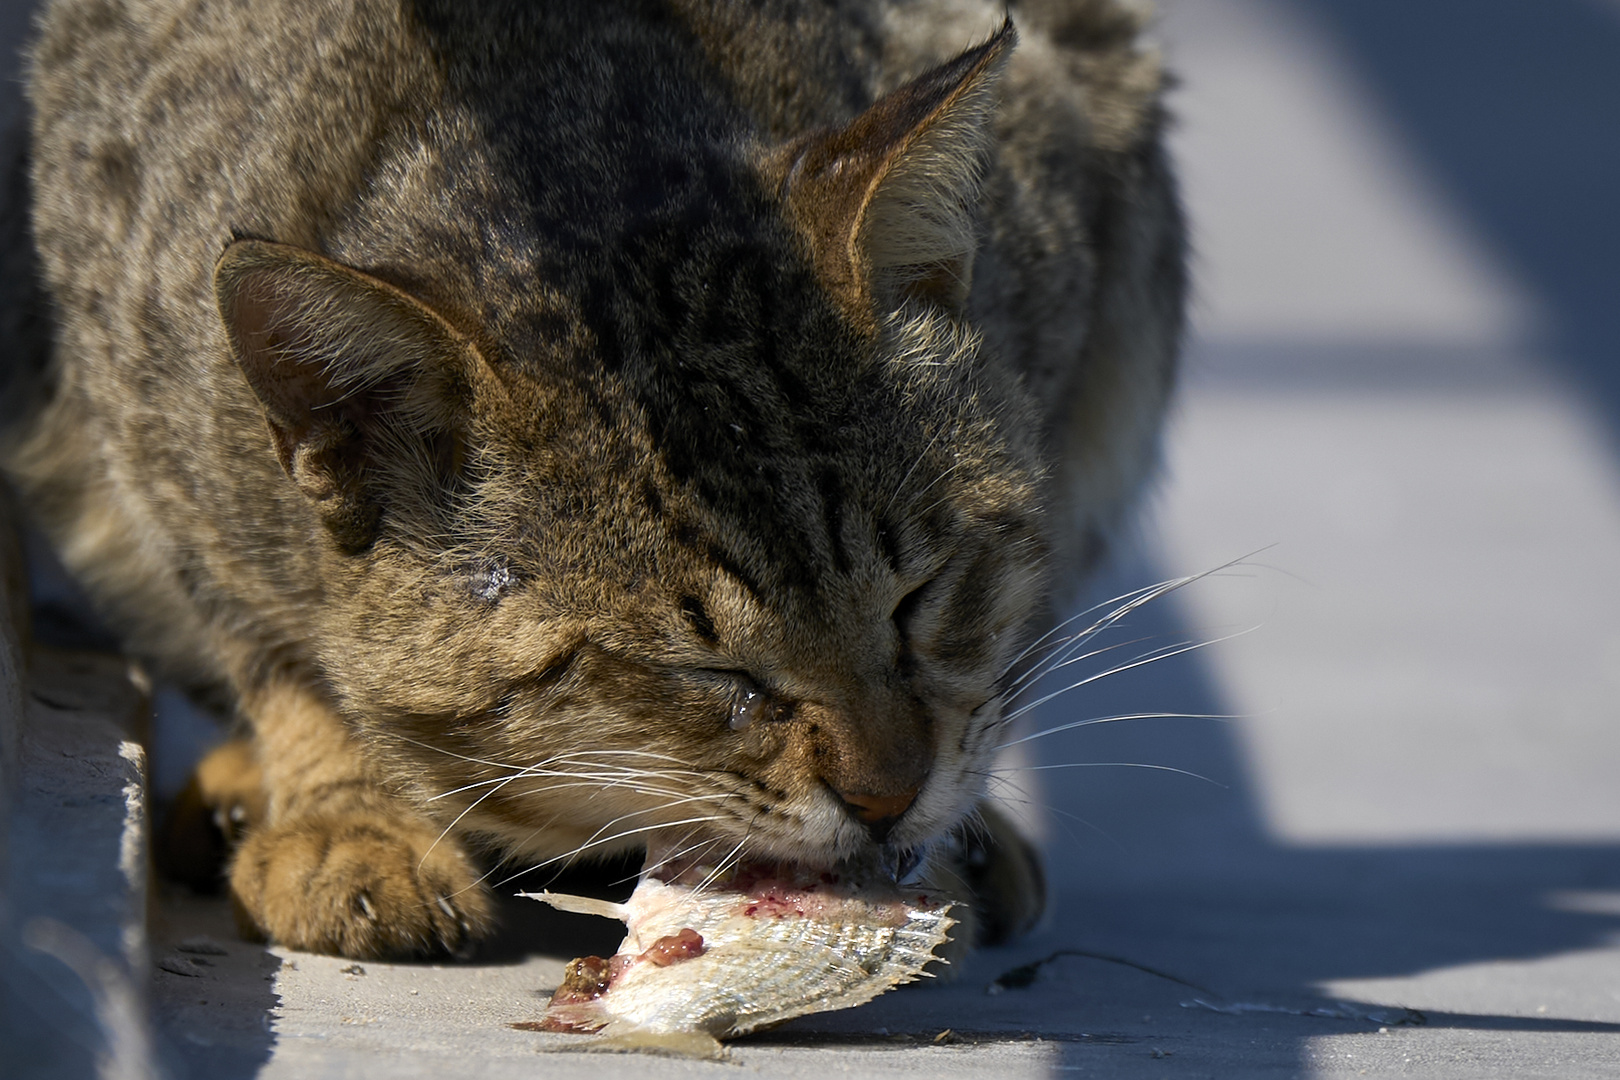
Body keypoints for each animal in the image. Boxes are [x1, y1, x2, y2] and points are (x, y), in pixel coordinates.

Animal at [3, 0, 1192, 965]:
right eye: (707, 669)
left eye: (918, 597)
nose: (889, 794)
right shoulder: (150, 434)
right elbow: (276, 650)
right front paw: (349, 812)